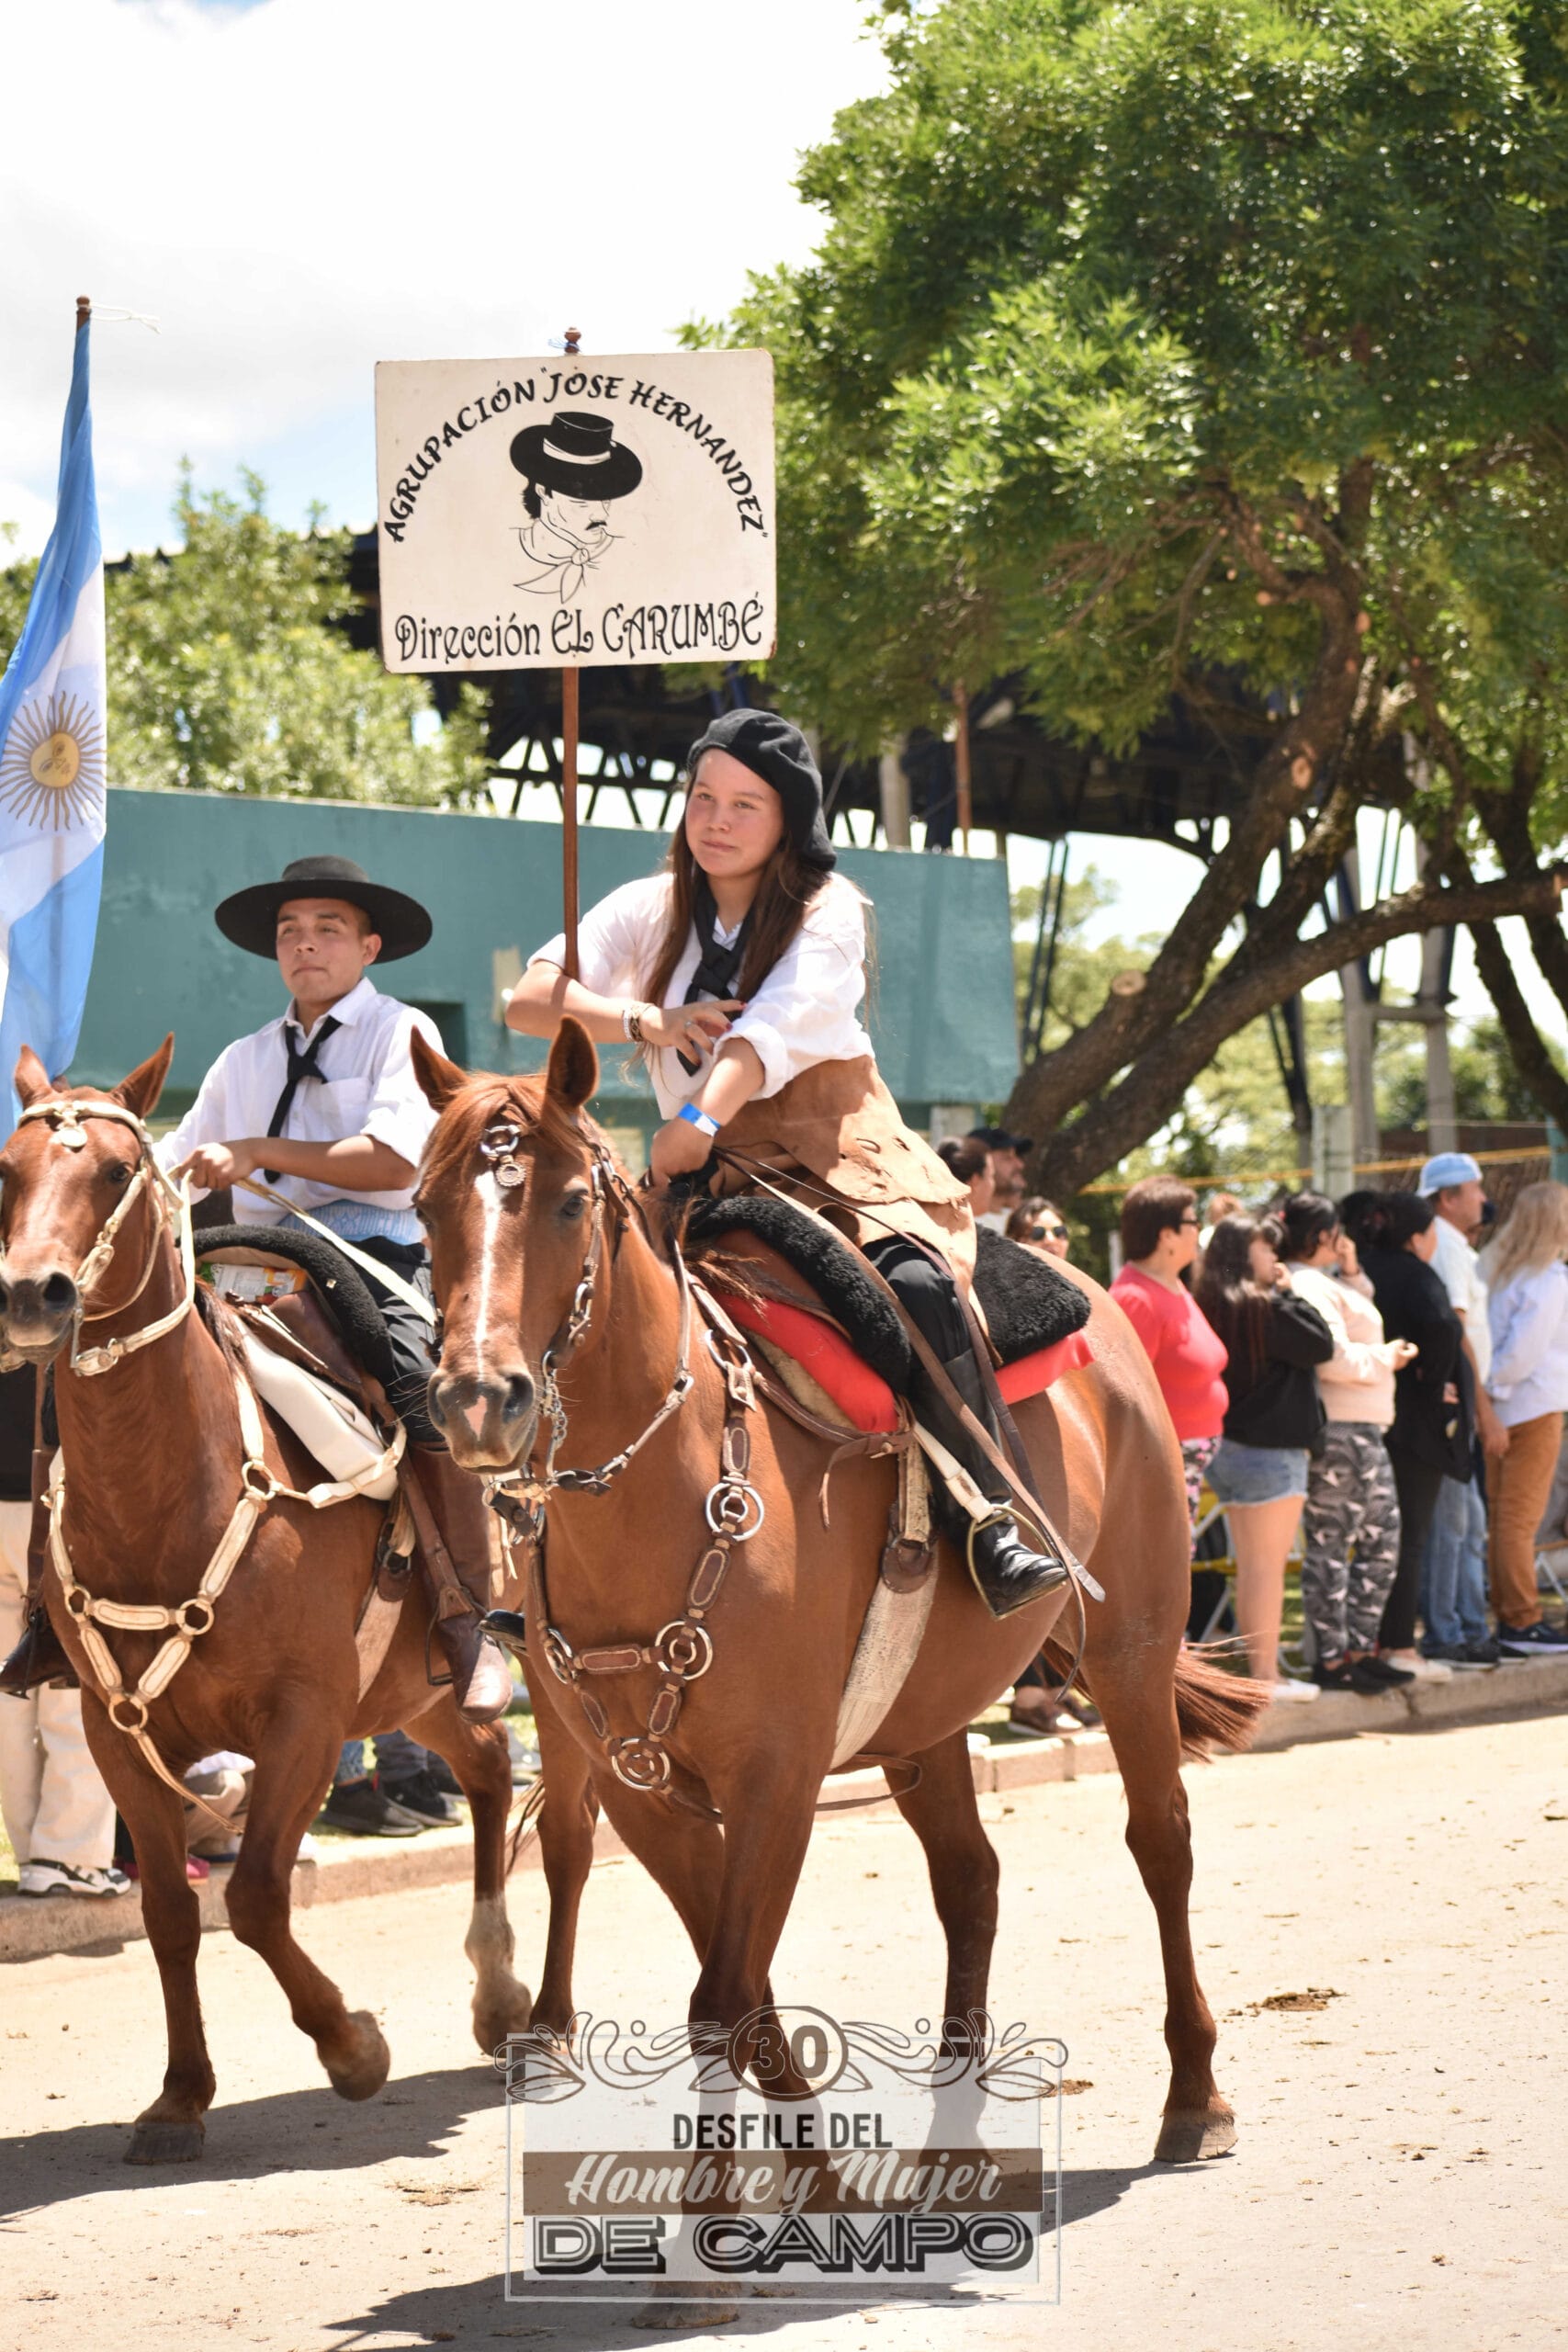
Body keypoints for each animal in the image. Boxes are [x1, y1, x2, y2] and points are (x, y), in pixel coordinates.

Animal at [0, 1039, 597, 2165]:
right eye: (8, 1171)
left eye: (117, 1171)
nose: (34, 1295)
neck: (168, 1494)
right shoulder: (116, 1733)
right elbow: (171, 1913)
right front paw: (179, 2098)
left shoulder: (306, 1718)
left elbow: (256, 1896)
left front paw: (352, 2046)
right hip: (421, 1688)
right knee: (488, 1772)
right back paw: (499, 1995)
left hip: (541, 1677)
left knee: (565, 1825)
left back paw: (538, 2021)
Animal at [412, 1017, 1268, 2168]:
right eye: (424, 1206)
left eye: (568, 1200)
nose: (477, 1399)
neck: (663, 1488)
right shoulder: (646, 1785)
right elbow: (738, 1984)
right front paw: (812, 2175)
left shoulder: (777, 1775)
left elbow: (724, 1996)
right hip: (928, 1715)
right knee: (970, 1878)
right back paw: (953, 2134)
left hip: (1131, 1647)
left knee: (1161, 1840)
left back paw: (1195, 2094)